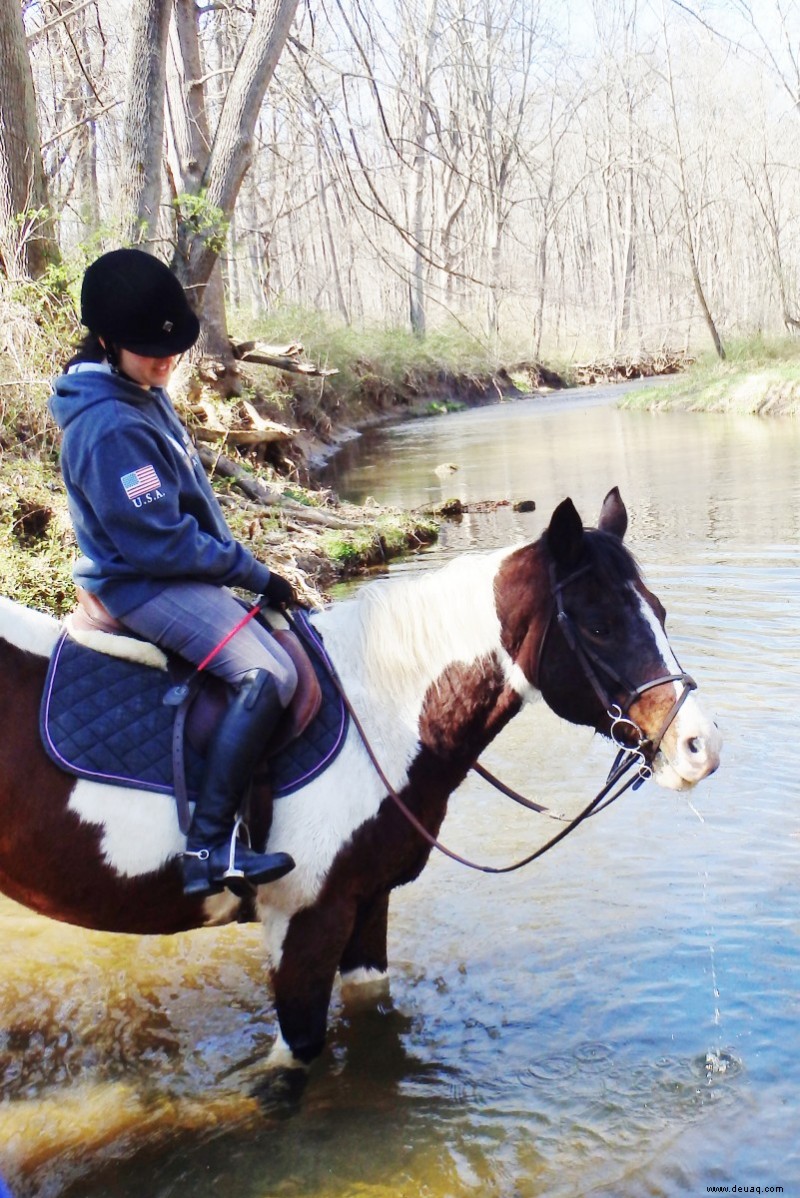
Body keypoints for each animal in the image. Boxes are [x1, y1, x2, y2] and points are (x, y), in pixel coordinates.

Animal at [0, 486, 723, 1078]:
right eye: (600, 625)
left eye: (659, 611)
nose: (701, 746)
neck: (380, 712)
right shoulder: (304, 923)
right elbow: (297, 1060)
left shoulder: (367, 903)